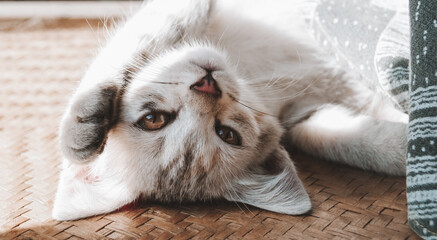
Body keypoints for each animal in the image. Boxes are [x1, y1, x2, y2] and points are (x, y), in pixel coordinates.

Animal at [52, 0, 408, 221]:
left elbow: (140, 44)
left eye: (227, 133)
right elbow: (343, 140)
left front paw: (81, 124)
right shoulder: (303, 116)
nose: (207, 85)